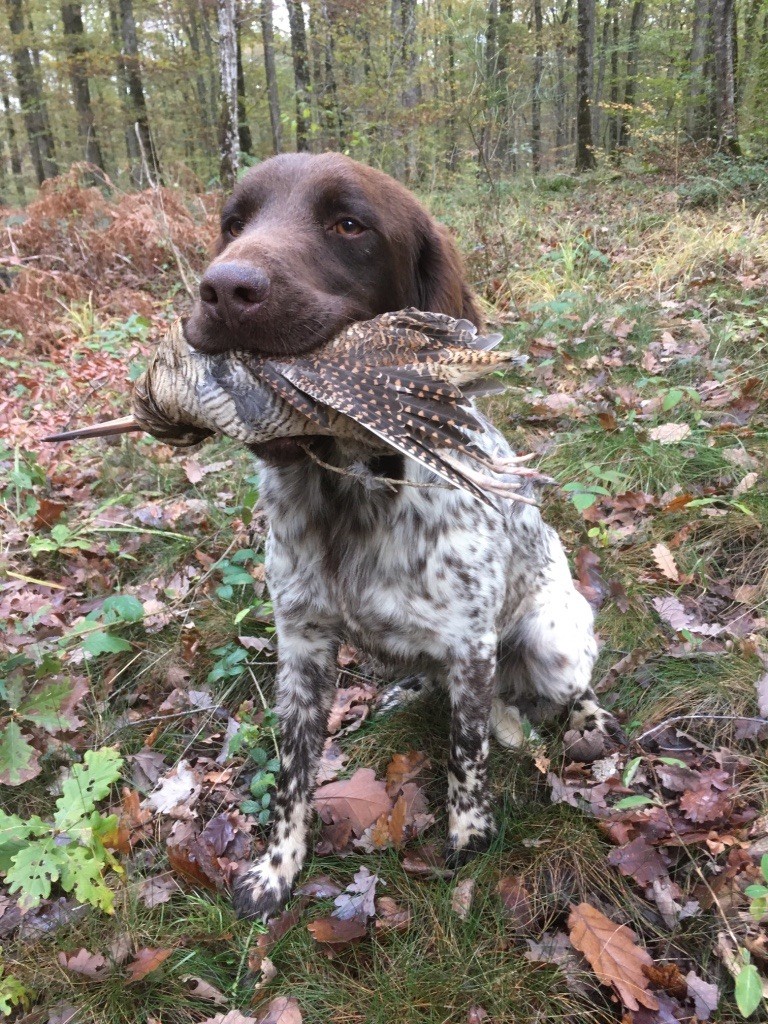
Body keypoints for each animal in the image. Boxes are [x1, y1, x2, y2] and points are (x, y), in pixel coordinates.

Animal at [185, 151, 618, 921]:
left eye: (349, 224)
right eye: (233, 223)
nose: (225, 288)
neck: (350, 495)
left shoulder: (472, 645)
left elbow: (467, 756)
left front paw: (469, 835)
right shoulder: (302, 649)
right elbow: (293, 774)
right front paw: (278, 868)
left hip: (551, 636)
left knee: (573, 685)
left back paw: (588, 720)